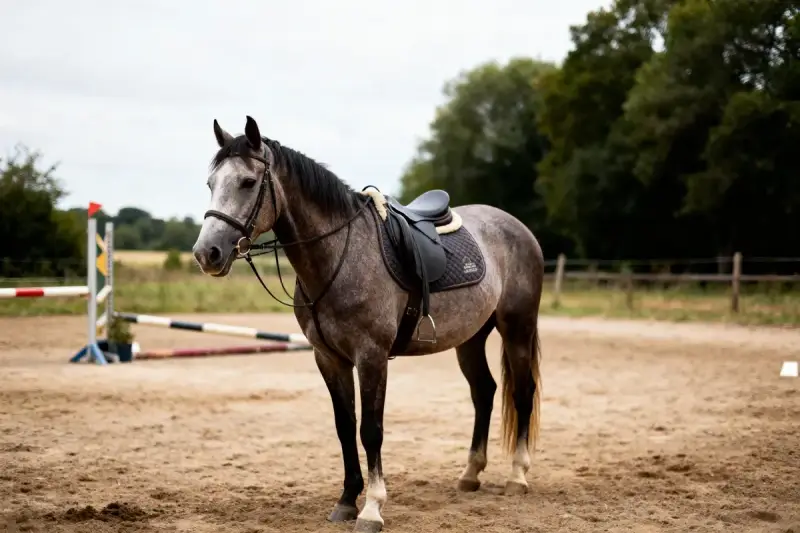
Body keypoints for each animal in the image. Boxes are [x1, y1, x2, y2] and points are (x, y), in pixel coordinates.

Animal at [192, 116, 545, 533]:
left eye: (247, 182)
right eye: (211, 184)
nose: (207, 253)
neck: (338, 256)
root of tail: (516, 226)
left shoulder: (371, 356)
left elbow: (370, 431)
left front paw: (373, 508)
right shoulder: (329, 358)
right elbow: (345, 427)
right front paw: (346, 501)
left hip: (517, 328)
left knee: (521, 393)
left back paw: (518, 476)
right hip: (471, 338)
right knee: (484, 392)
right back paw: (471, 474)